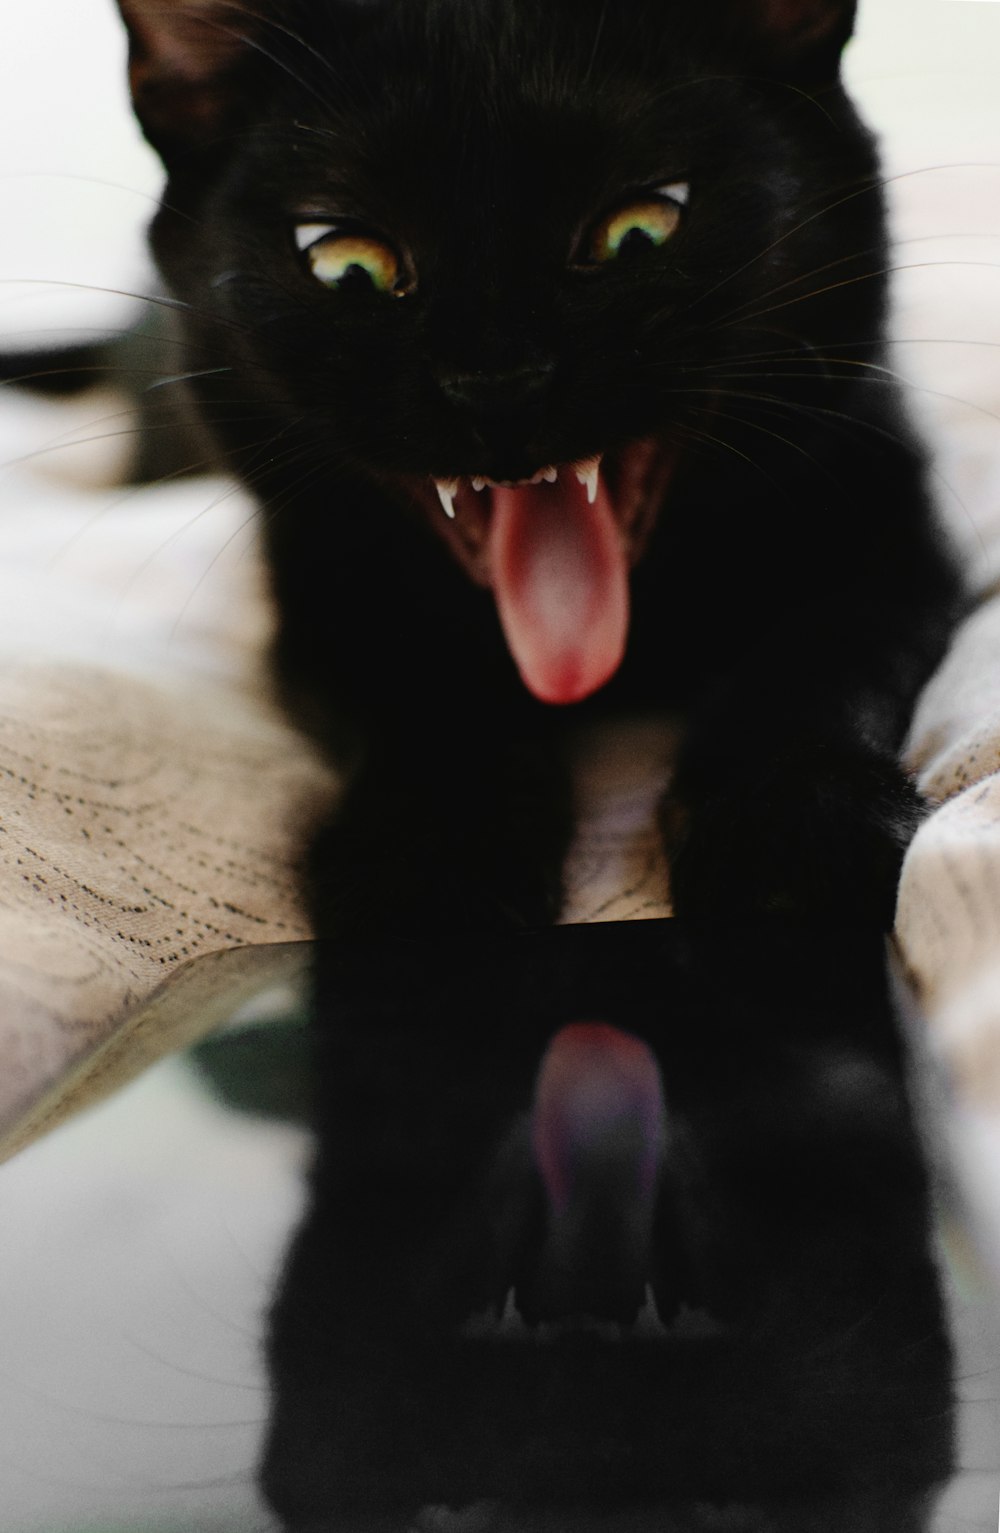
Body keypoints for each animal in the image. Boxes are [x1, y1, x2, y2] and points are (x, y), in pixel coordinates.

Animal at [109, 0, 963, 1526]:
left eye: (638, 228)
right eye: (348, 262)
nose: (494, 385)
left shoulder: (889, 505)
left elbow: (821, 651)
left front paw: (789, 822)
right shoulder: (315, 588)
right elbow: (427, 709)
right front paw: (431, 862)